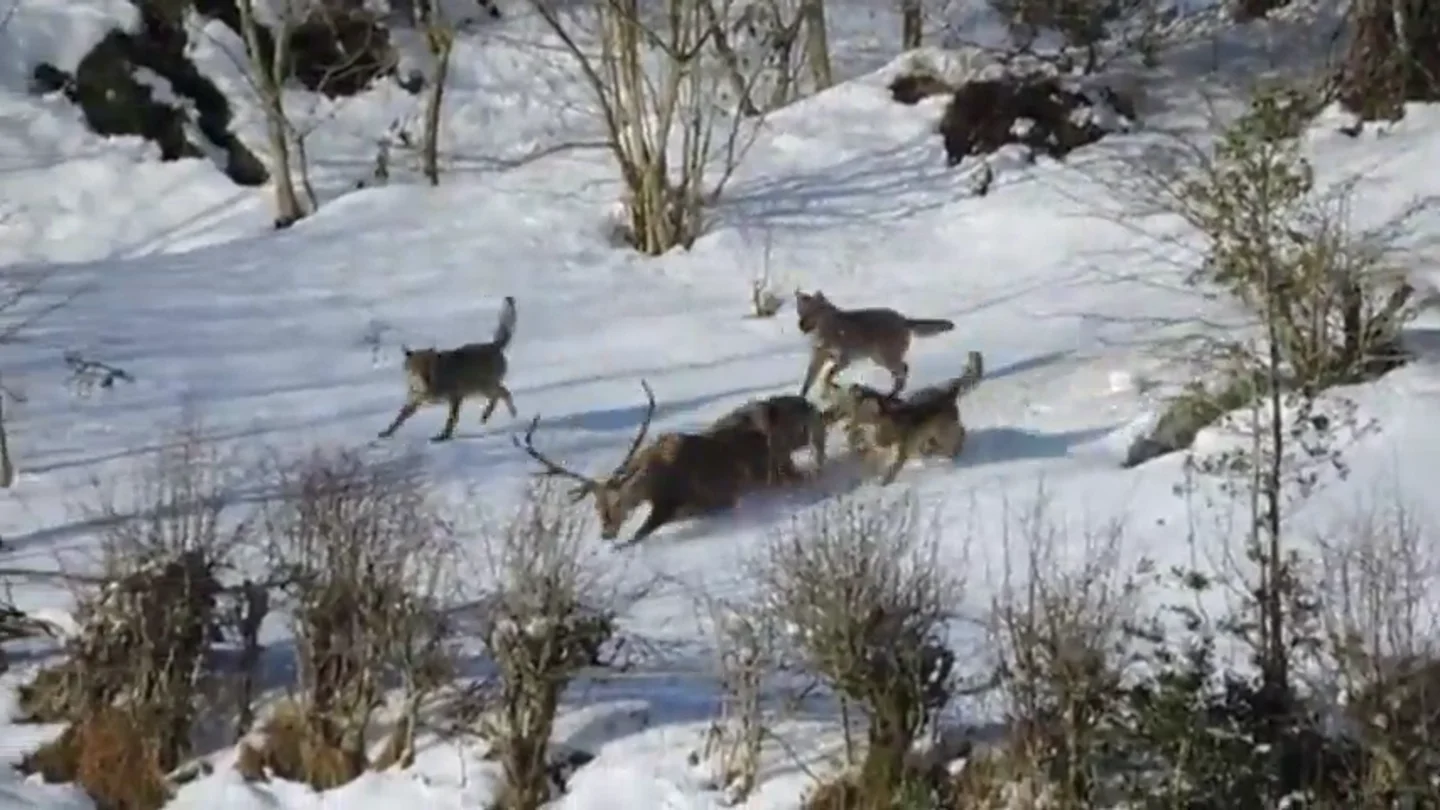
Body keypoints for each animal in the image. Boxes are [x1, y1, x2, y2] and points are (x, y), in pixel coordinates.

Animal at [378, 295, 519, 443]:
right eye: (417, 368)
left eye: (429, 367)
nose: (426, 379)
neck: (427, 386)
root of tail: (494, 345)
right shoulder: (415, 401)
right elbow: (398, 419)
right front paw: (386, 433)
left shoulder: (455, 396)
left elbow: (451, 419)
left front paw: (443, 436)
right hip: (479, 389)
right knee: (498, 395)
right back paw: (486, 416)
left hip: (482, 386)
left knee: (504, 392)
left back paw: (506, 413)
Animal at [794, 289, 956, 398]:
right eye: (800, 313)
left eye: (812, 313)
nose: (800, 325)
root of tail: (903, 319)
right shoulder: (818, 359)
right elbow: (809, 381)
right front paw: (803, 397)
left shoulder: (844, 359)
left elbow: (828, 375)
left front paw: (830, 387)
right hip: (880, 359)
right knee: (901, 371)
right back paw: (893, 393)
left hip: (886, 357)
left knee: (904, 369)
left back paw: (893, 394)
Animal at [824, 350, 984, 485]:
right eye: (843, 411)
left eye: (850, 415)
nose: (829, 415)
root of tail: (948, 390)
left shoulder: (899, 454)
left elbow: (890, 471)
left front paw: (883, 483)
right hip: (932, 434)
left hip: (943, 431)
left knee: (960, 433)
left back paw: (953, 450)